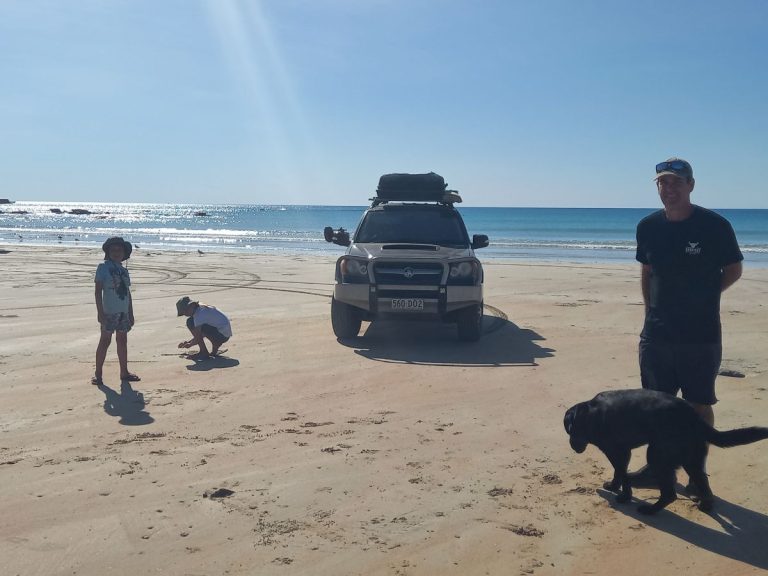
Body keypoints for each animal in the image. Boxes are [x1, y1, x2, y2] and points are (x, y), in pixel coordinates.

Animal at [564, 390, 768, 516]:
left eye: (570, 430)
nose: (573, 447)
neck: (590, 413)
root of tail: (693, 416)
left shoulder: (619, 452)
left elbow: (622, 474)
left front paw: (623, 496)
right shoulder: (621, 453)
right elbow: (619, 473)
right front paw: (615, 486)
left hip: (657, 454)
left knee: (670, 494)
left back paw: (651, 510)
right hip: (691, 459)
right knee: (703, 482)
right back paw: (705, 505)